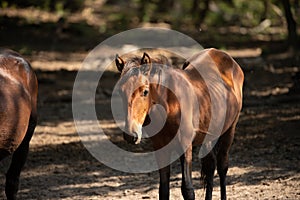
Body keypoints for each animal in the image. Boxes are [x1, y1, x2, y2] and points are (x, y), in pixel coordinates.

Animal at [115, 48, 244, 200]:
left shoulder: (185, 145)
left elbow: (187, 190)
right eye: (120, 92)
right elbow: (163, 190)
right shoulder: (160, 147)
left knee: (222, 166)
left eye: (145, 91)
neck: (170, 104)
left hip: (230, 130)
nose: (131, 135)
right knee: (210, 165)